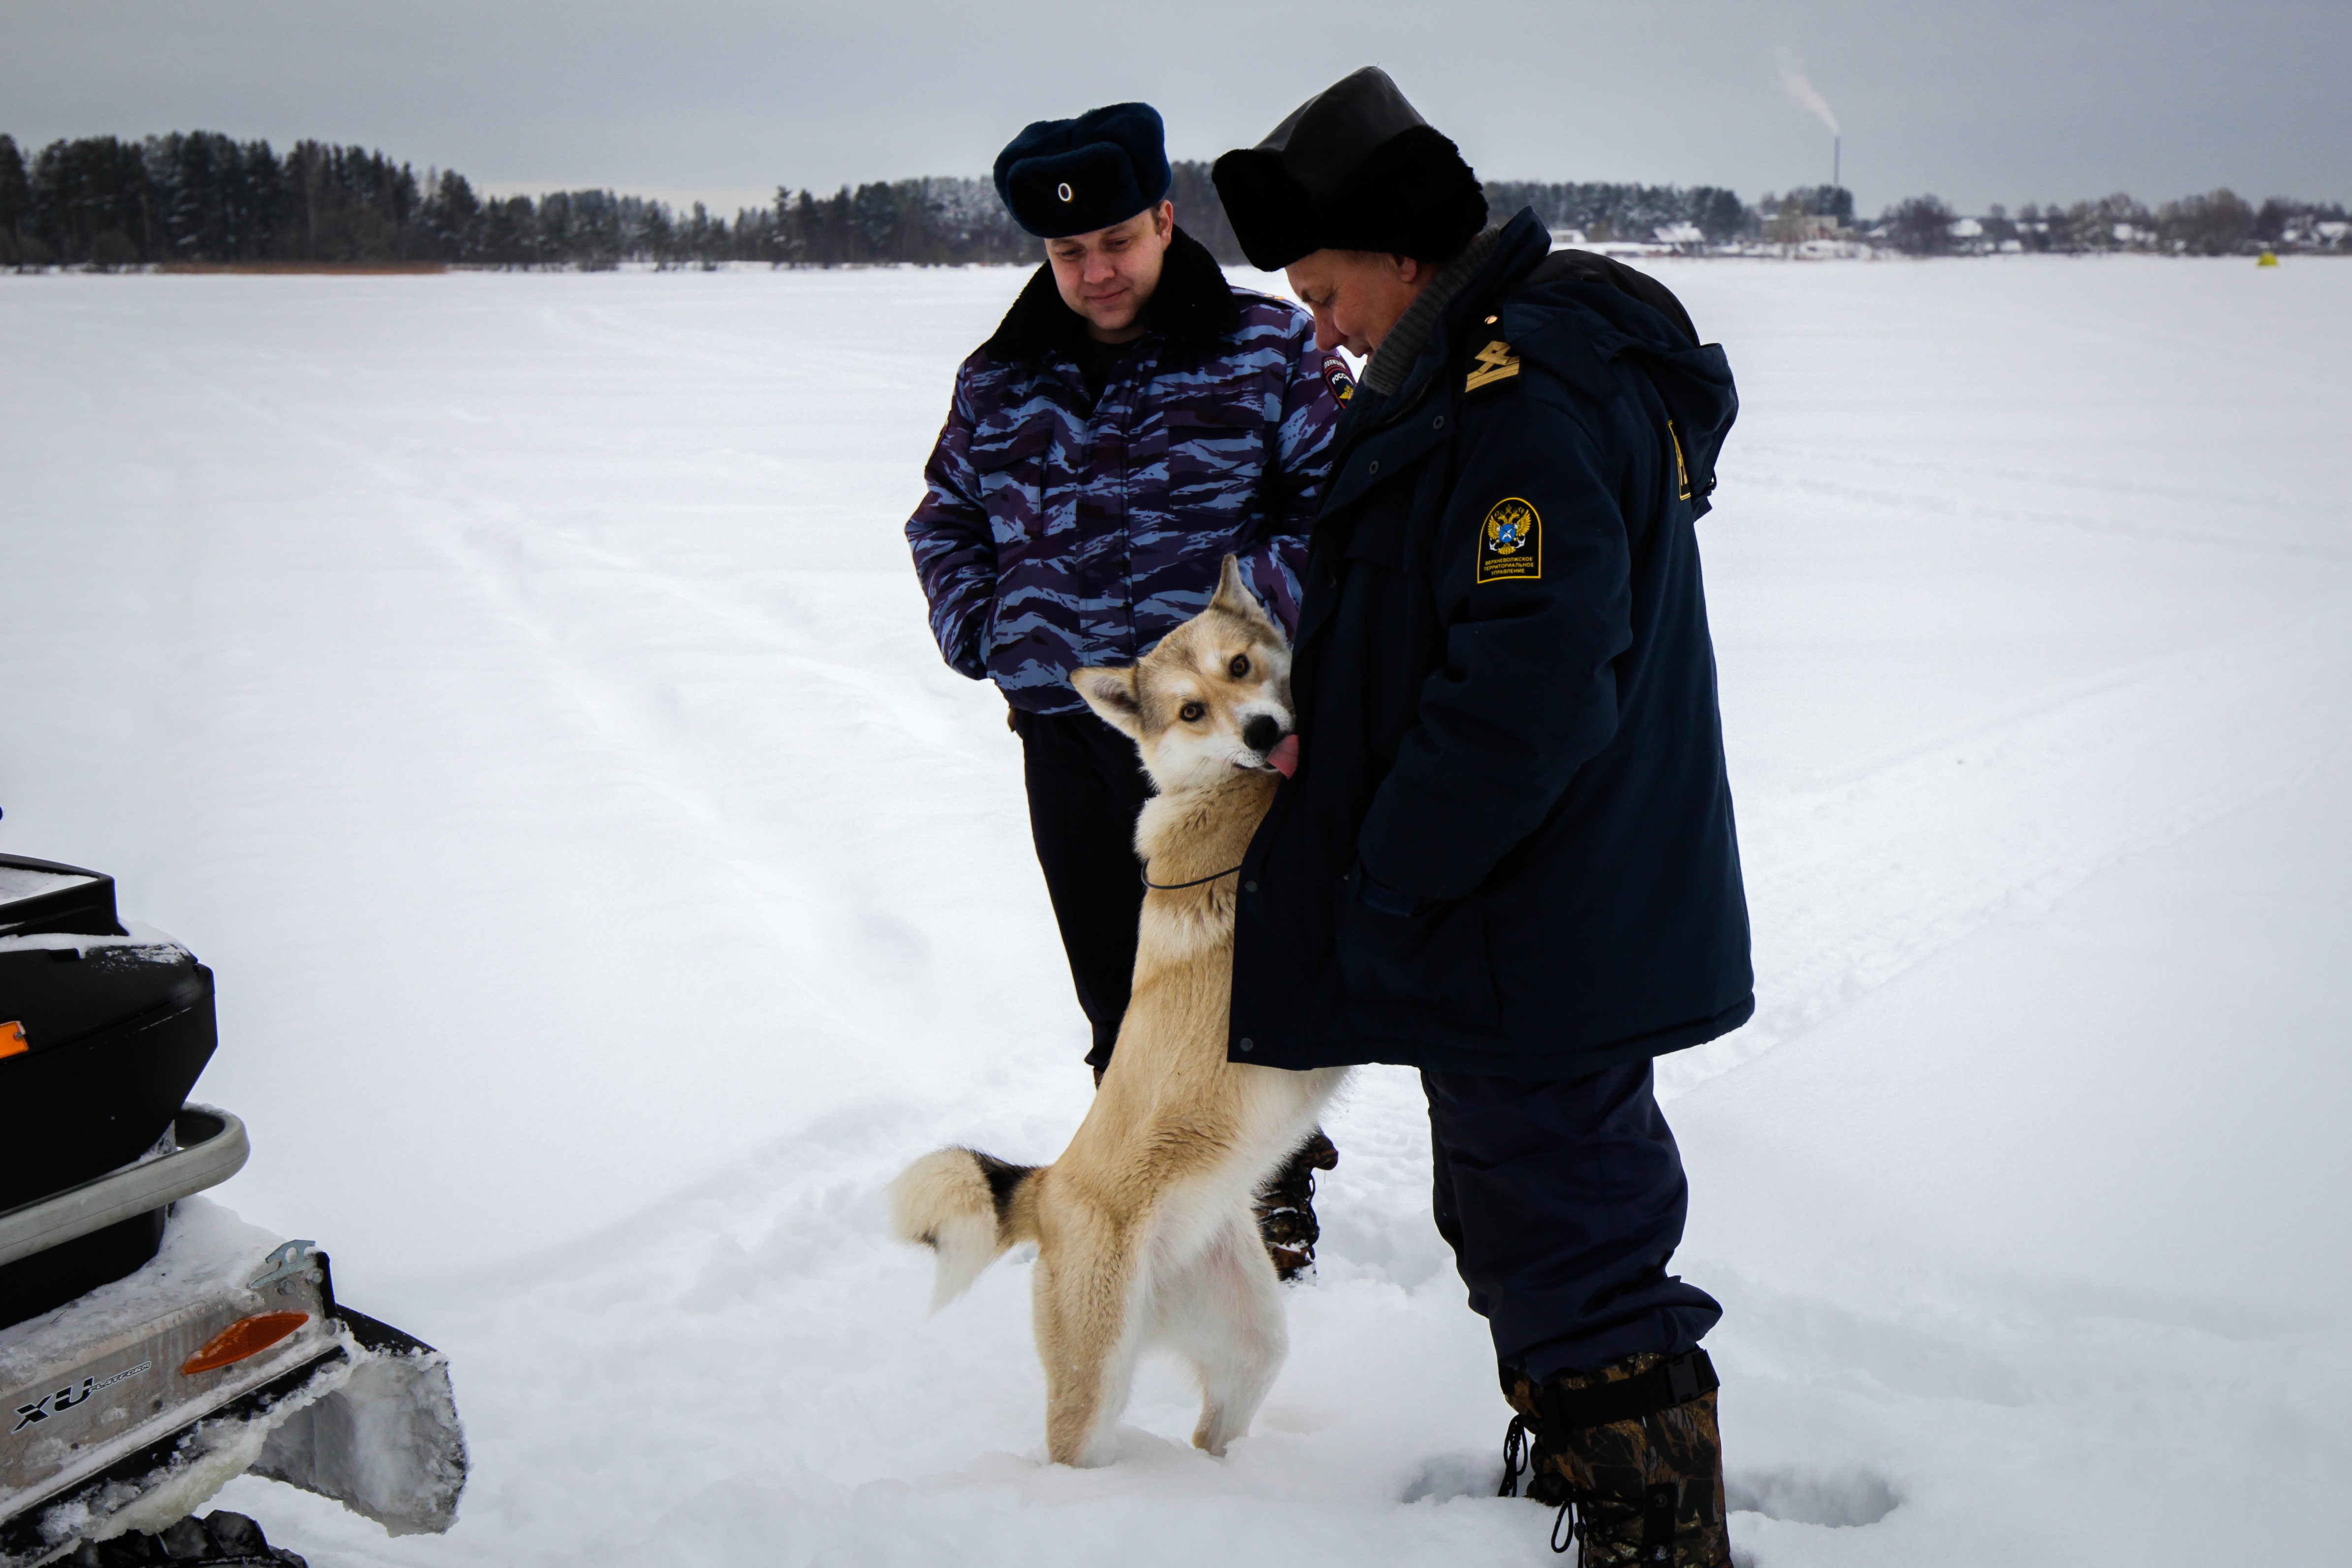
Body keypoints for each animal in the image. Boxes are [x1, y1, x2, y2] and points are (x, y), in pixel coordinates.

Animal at [889, 557, 1354, 1467]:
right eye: (1190, 710)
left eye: (1240, 667)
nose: (1259, 732)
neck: (1221, 789)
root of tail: (1047, 1188)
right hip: (1095, 1379)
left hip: (1250, 1343)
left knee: (1214, 1428)